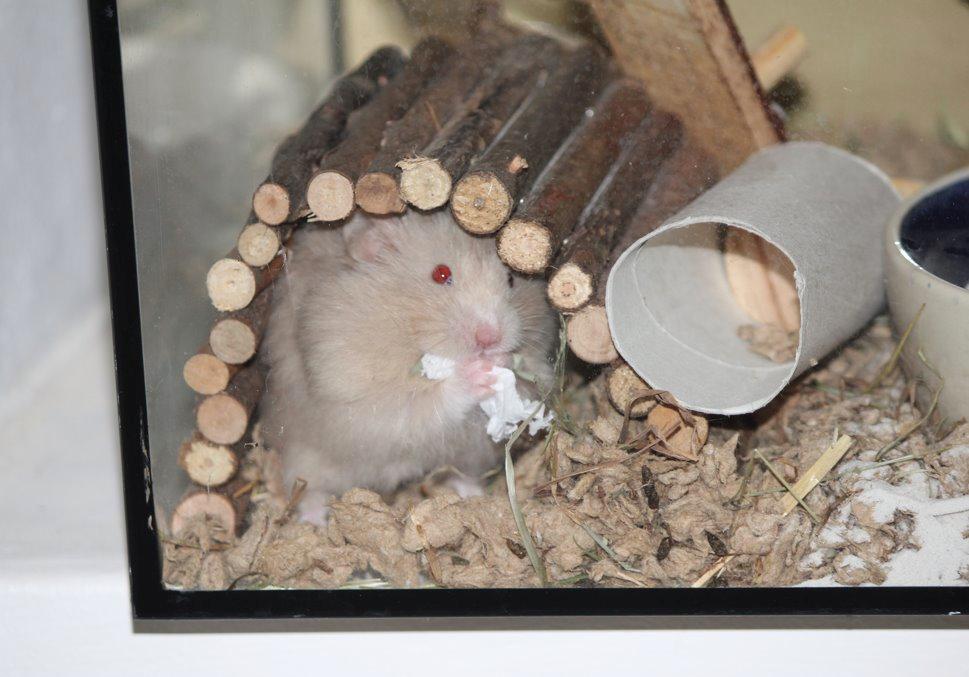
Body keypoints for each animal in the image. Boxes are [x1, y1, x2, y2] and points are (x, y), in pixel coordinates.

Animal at [259, 209, 557, 523]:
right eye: (441, 274)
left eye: (511, 279)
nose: (491, 339)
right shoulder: (357, 394)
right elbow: (420, 404)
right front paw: (476, 373)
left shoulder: (540, 370)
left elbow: (533, 382)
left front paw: (503, 362)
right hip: (304, 455)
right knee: (305, 488)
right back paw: (317, 521)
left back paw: (472, 494)